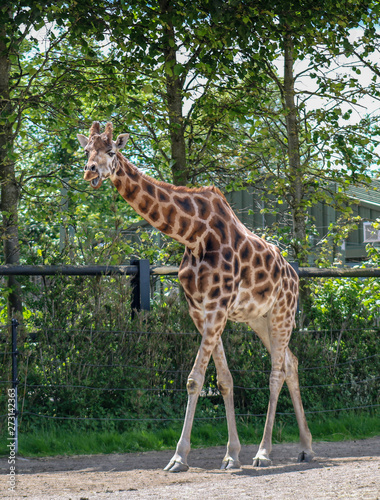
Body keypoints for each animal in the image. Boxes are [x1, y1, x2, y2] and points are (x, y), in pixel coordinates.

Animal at [75, 122, 314, 472]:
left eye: (111, 150)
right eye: (86, 150)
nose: (90, 171)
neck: (193, 235)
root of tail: (294, 275)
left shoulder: (216, 308)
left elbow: (194, 380)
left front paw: (179, 457)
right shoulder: (200, 310)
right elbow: (224, 379)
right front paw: (231, 455)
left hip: (283, 313)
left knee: (276, 372)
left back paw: (263, 452)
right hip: (260, 319)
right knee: (292, 363)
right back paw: (306, 448)